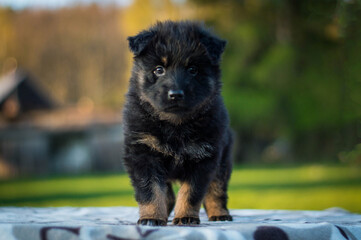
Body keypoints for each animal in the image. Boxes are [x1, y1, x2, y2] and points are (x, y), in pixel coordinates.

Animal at [122, 20, 232, 225]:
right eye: (159, 69)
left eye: (193, 70)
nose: (175, 94)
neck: (175, 124)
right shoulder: (143, 154)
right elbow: (150, 191)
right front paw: (151, 217)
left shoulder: (204, 157)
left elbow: (191, 193)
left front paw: (186, 216)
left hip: (223, 161)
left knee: (216, 190)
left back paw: (219, 213)